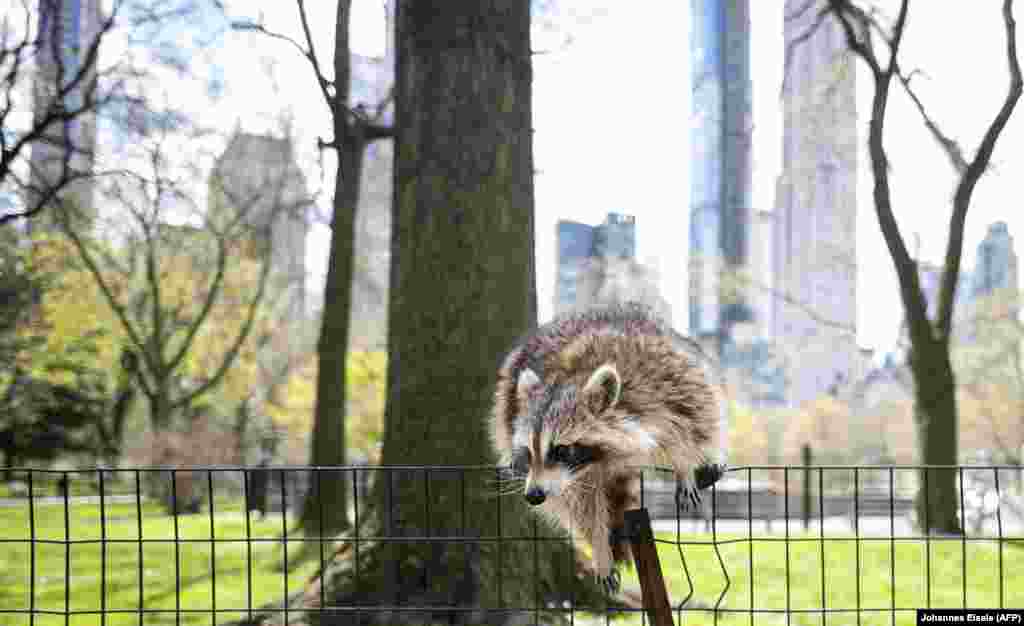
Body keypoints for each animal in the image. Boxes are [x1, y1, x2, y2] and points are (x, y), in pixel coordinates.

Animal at [487, 303, 720, 594]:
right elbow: (582, 506)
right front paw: (599, 547)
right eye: (529, 451)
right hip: (507, 403)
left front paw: (684, 462)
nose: (533, 495)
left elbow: (689, 417)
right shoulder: (572, 478)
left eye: (560, 450)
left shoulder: (662, 378)